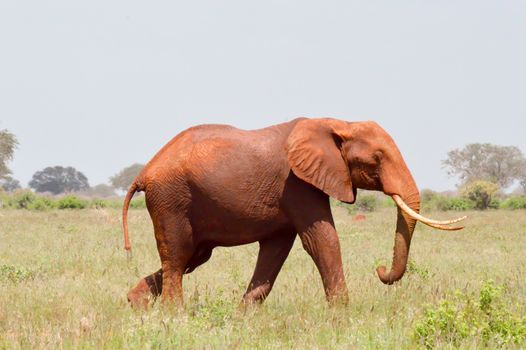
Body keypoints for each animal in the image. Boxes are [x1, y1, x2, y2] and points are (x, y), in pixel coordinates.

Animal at [124, 118, 466, 308]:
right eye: (377, 158)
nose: (380, 269)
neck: (338, 122)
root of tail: (144, 172)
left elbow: (276, 251)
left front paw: (242, 317)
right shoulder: (298, 184)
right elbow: (322, 240)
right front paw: (342, 316)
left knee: (193, 257)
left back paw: (136, 304)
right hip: (171, 199)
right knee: (178, 255)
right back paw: (175, 316)